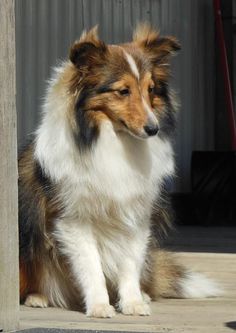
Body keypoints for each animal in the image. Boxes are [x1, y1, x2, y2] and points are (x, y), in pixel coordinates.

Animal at [18, 24, 219, 316]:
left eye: (151, 89)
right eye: (123, 91)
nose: (153, 129)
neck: (113, 141)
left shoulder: (136, 215)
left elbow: (130, 263)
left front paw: (133, 302)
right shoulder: (74, 220)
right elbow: (91, 267)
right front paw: (100, 306)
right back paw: (37, 297)